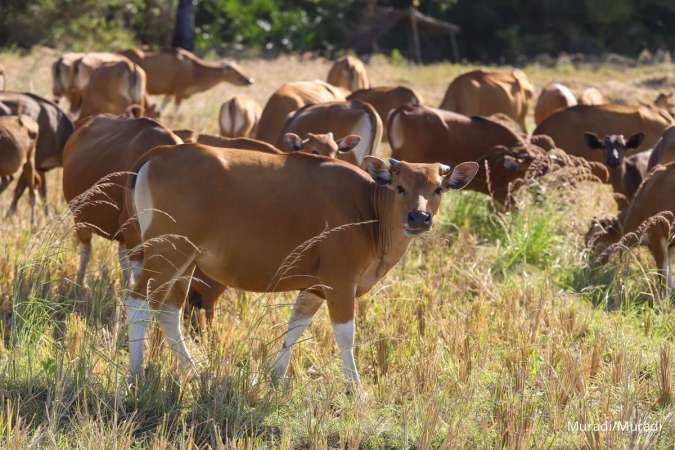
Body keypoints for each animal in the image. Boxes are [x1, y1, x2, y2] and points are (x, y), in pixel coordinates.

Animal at [116, 47, 254, 110]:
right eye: (235, 72)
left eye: (240, 68)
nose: (249, 80)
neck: (195, 71)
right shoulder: (179, 92)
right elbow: (176, 112)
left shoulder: (170, 92)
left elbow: (162, 108)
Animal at [123, 142, 480, 388]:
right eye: (400, 186)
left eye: (437, 189)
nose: (419, 218)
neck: (368, 209)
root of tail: (159, 154)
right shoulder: (340, 282)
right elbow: (346, 335)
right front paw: (356, 389)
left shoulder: (314, 287)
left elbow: (296, 326)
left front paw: (276, 376)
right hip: (168, 252)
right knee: (138, 303)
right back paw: (135, 373)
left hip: (183, 261)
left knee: (168, 312)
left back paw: (194, 372)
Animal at [588, 163, 675, 298]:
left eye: (594, 245)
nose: (589, 270)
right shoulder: (670, 246)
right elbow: (670, 280)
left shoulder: (657, 240)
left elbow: (663, 279)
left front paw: (662, 302)